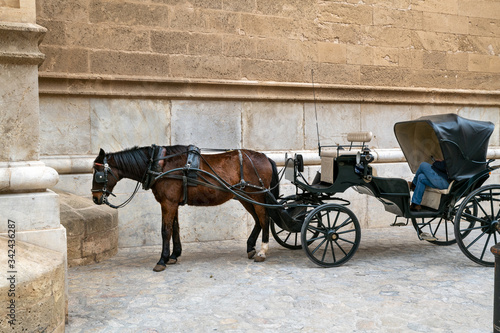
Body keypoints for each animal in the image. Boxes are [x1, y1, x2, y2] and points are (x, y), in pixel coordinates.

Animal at [90, 144, 280, 272]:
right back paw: (250, 247)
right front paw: (174, 255)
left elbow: (165, 230)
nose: (95, 198)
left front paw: (162, 260)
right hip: (244, 197)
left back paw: (262, 251)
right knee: (257, 220)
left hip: (256, 196)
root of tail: (265, 157)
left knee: (264, 219)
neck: (160, 165)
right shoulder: (172, 203)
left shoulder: (168, 203)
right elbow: (175, 228)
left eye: (98, 174)